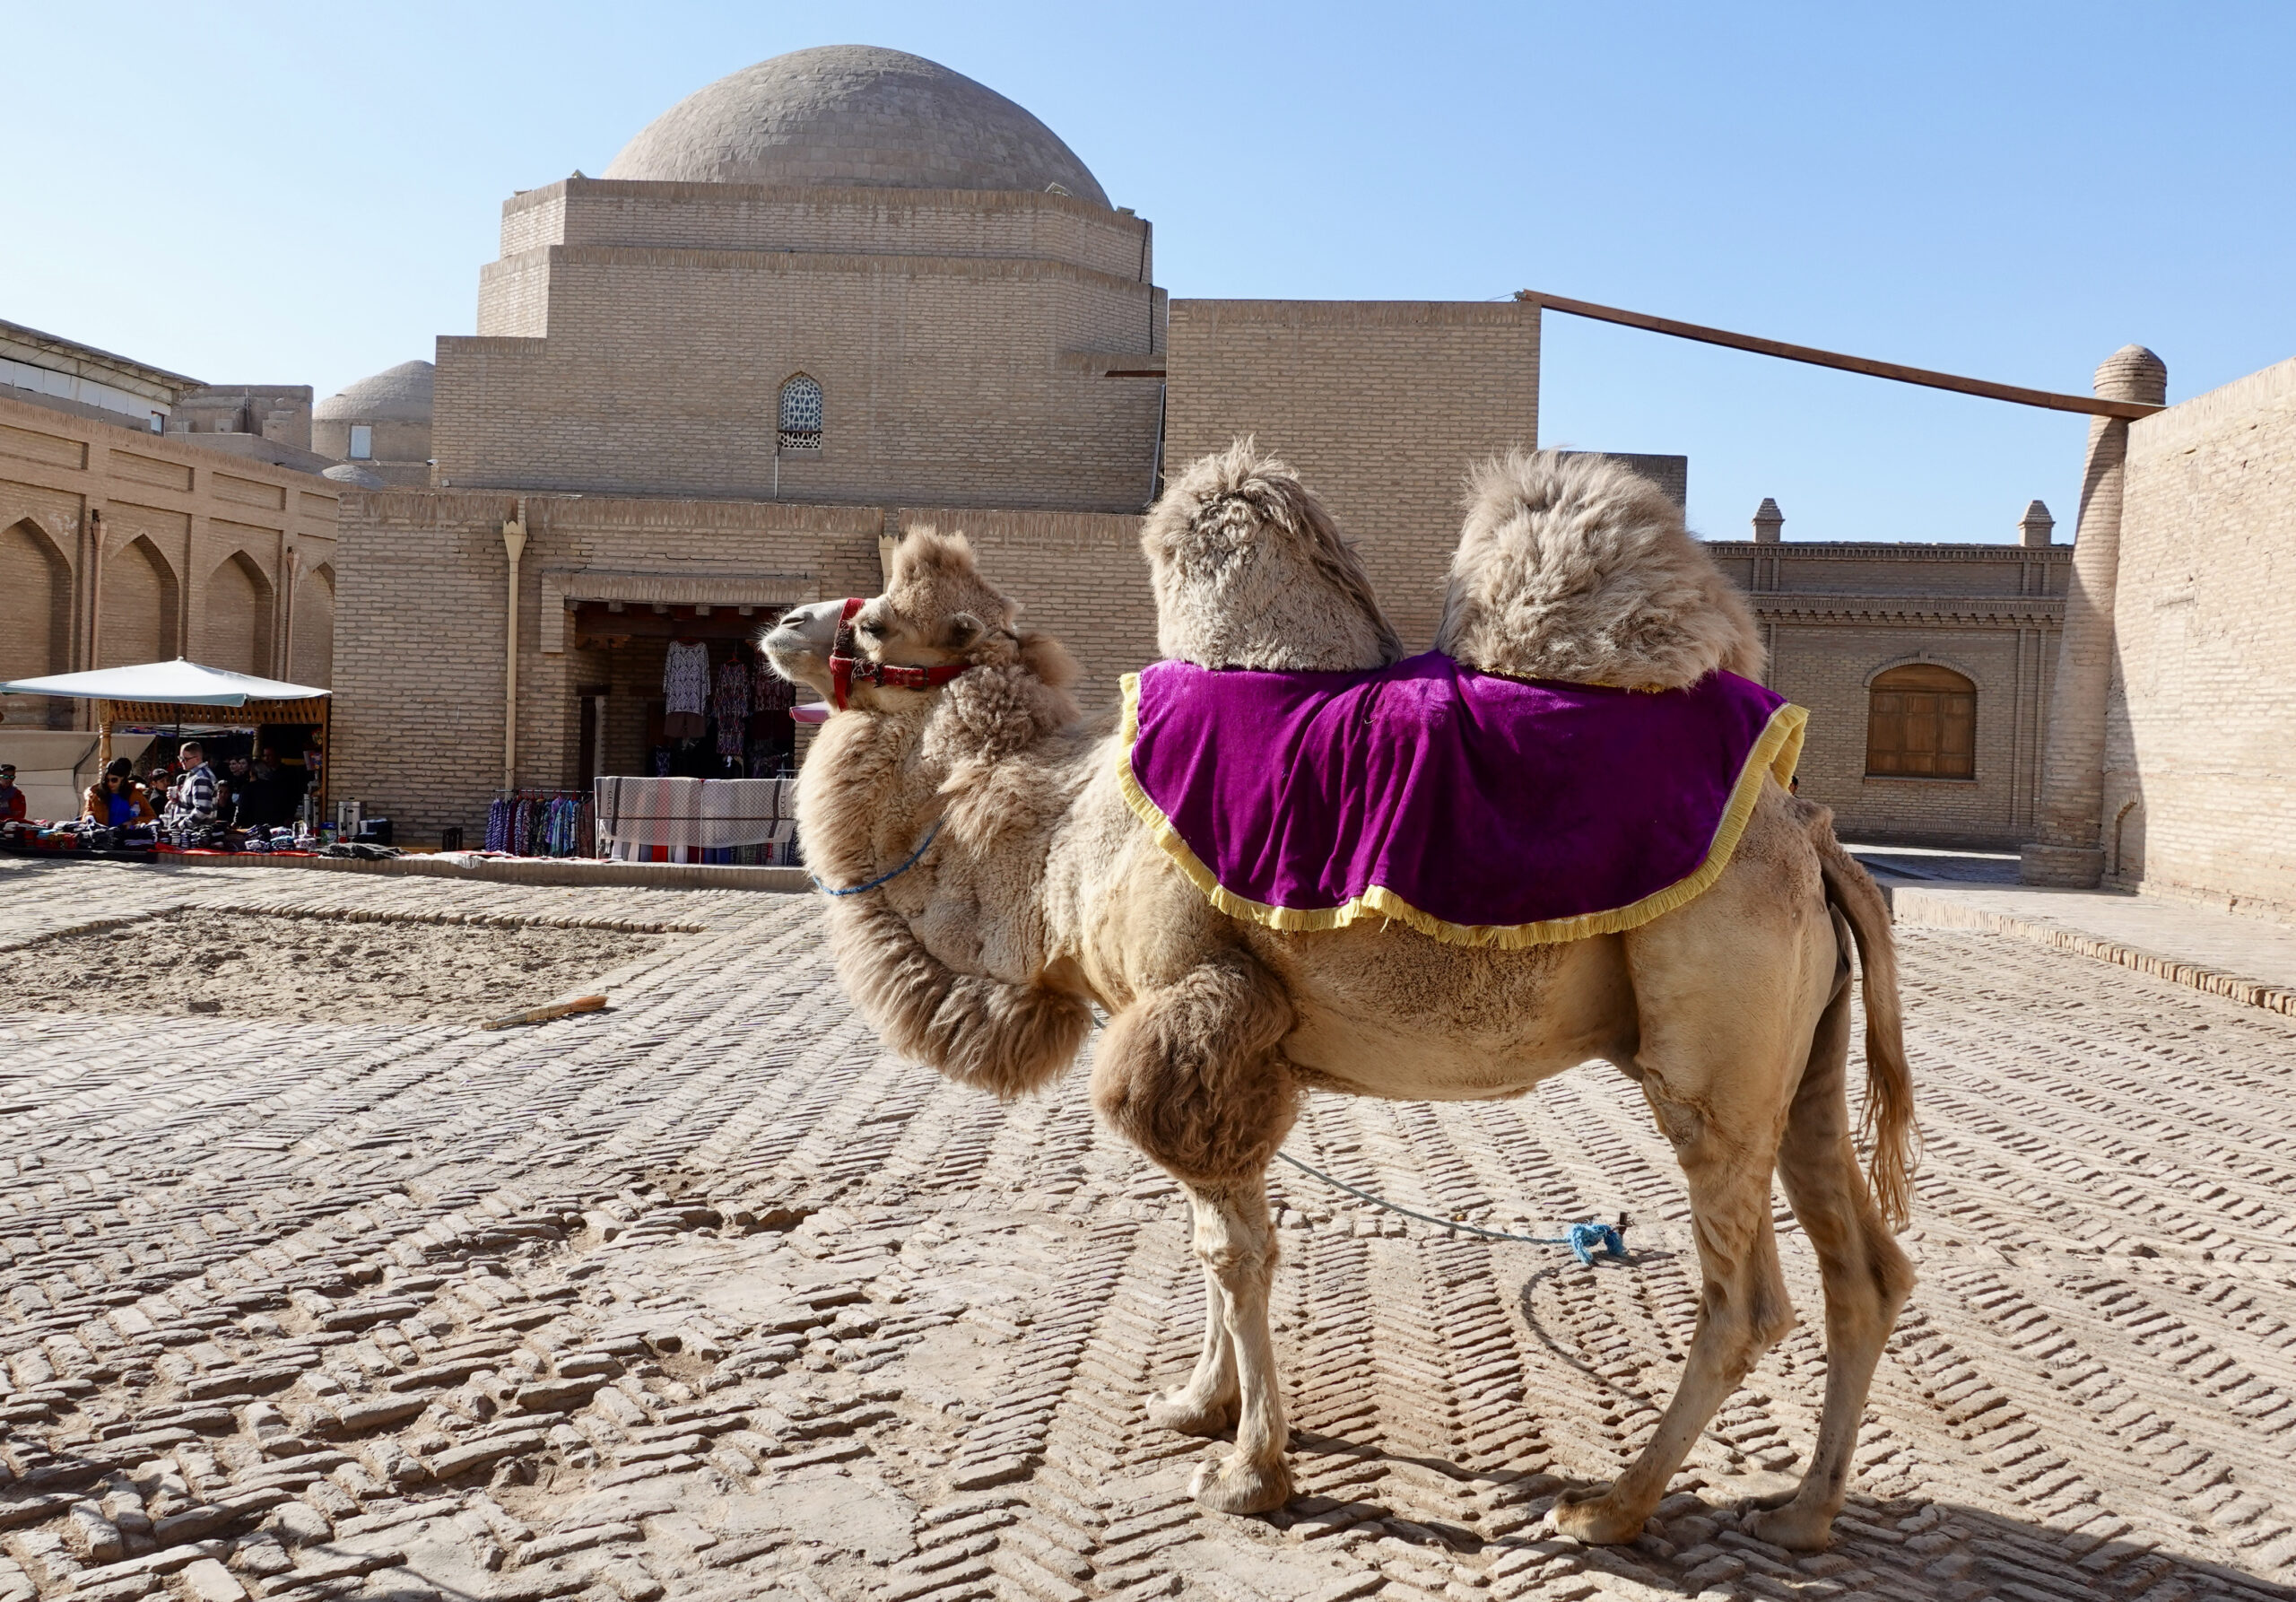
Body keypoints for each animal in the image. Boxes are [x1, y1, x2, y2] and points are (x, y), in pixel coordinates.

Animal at [771, 440, 1919, 1551]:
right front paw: (1198, 1403)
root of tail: (1810, 834)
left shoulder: (1196, 1003)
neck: (1052, 838)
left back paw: (1608, 1508)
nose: (782, 623)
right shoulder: (1221, 1043)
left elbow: (1236, 1250)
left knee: (1745, 1301)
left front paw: (1249, 1472)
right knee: (1864, 1271)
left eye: (877, 620)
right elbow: (1209, 1236)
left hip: (1712, 1060)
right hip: (1803, 1065)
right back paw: (1803, 1513)